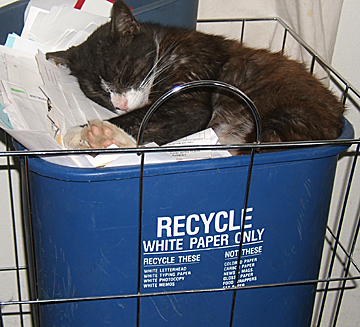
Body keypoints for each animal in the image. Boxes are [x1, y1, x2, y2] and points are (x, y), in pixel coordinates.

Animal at [46, 0, 344, 154]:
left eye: (123, 73)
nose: (119, 104)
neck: (165, 47)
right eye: (99, 94)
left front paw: (82, 132)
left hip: (287, 118)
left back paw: (104, 136)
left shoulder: (190, 98)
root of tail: (339, 118)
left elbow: (142, 121)